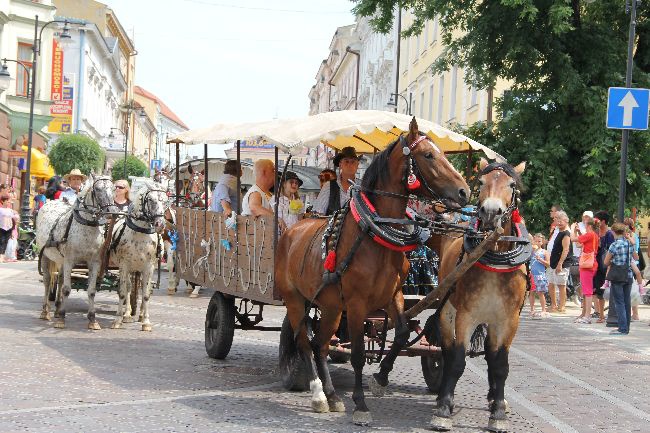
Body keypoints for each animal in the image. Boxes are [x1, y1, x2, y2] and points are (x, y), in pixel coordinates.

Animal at [430, 157, 528, 430]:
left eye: (511, 185)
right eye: (482, 182)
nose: (491, 212)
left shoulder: (509, 321)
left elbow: (500, 364)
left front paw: (498, 412)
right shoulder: (467, 315)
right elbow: (457, 360)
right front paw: (443, 409)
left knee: (491, 356)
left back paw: (495, 397)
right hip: (448, 311)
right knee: (447, 350)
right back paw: (444, 395)